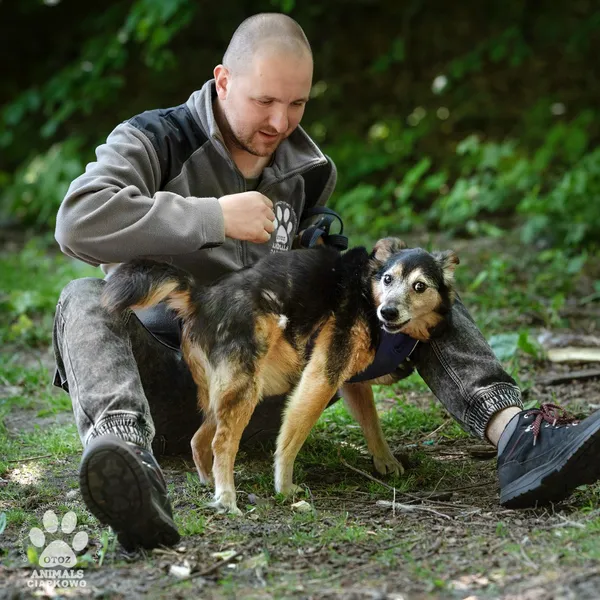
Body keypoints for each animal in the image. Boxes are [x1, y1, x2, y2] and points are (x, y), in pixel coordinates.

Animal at [103, 239, 460, 516]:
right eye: (387, 279)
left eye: (419, 286)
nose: (388, 312)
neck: (364, 293)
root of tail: (201, 297)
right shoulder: (320, 376)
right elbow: (290, 438)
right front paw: (284, 486)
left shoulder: (350, 379)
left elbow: (372, 423)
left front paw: (386, 461)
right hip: (246, 387)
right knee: (221, 443)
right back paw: (227, 498)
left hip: (230, 391)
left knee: (199, 438)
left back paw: (209, 484)